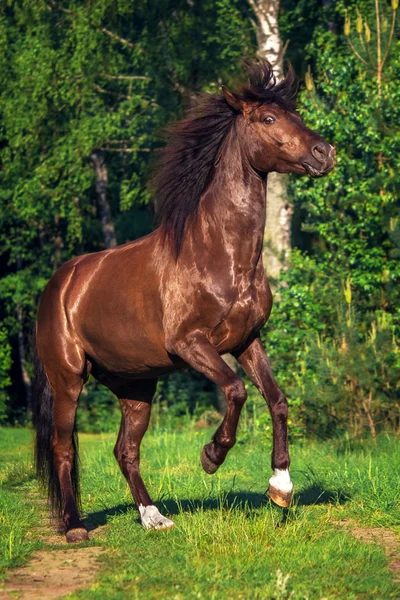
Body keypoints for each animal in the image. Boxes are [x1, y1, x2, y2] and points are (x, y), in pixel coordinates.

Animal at [33, 59, 334, 544]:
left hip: (136, 386)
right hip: (68, 379)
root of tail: (58, 285)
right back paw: (74, 527)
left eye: (296, 114)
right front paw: (212, 455)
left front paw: (281, 488)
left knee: (125, 450)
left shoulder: (246, 342)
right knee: (64, 447)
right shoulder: (191, 344)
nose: (326, 153)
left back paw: (153, 517)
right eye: (269, 119)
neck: (219, 254)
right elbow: (235, 391)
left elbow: (276, 399)